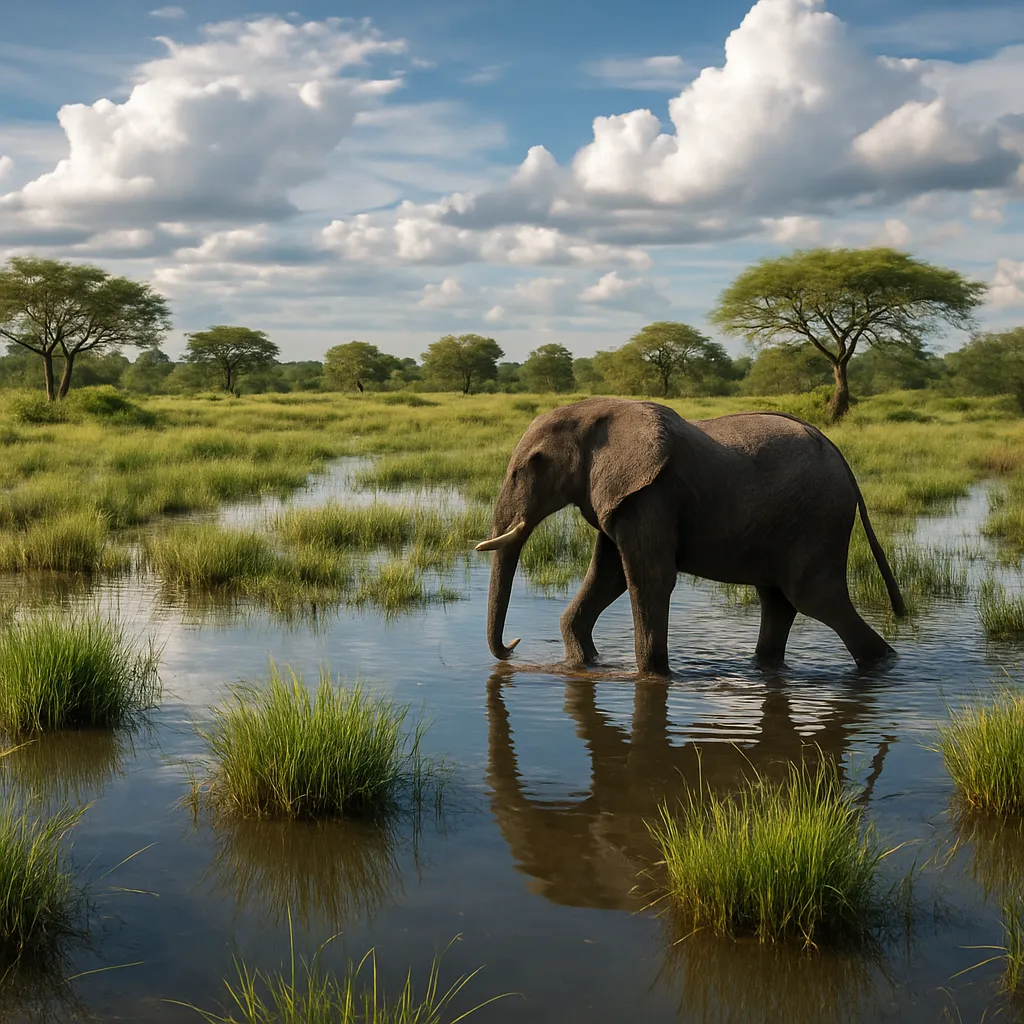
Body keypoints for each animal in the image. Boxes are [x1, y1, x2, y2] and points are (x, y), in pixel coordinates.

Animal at [475, 397, 905, 676]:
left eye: (534, 464)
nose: (512, 648)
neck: (597, 412)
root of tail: (844, 463)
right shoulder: (621, 497)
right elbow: (609, 576)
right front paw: (583, 664)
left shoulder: (650, 495)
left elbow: (649, 580)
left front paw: (651, 676)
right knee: (778, 601)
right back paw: (764, 667)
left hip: (819, 520)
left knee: (814, 598)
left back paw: (884, 664)